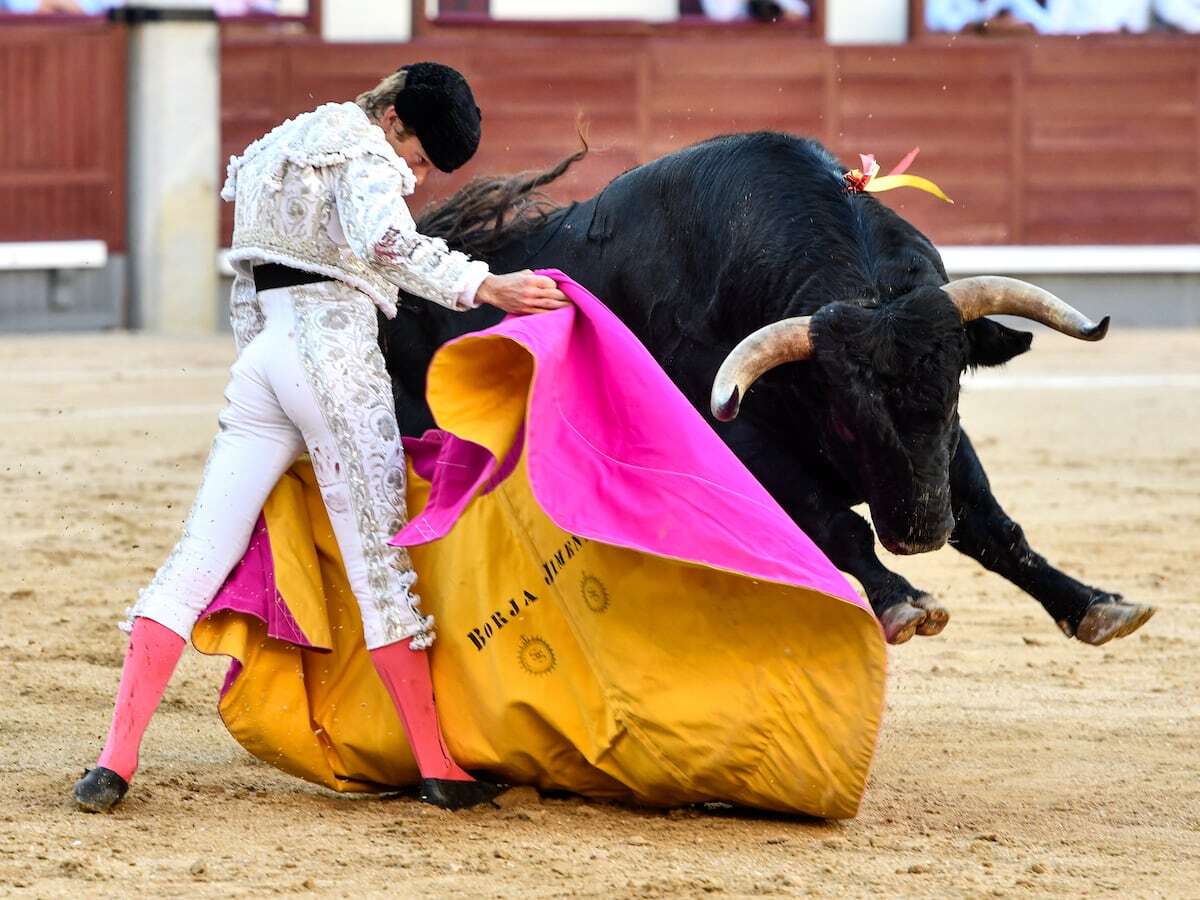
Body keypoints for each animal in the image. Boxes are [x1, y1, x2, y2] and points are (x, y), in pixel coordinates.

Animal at [379, 130, 1156, 643]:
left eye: (956, 392)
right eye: (845, 415)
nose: (919, 532)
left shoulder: (944, 446)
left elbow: (994, 525)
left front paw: (1097, 605)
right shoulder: (748, 440)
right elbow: (839, 527)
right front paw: (905, 603)